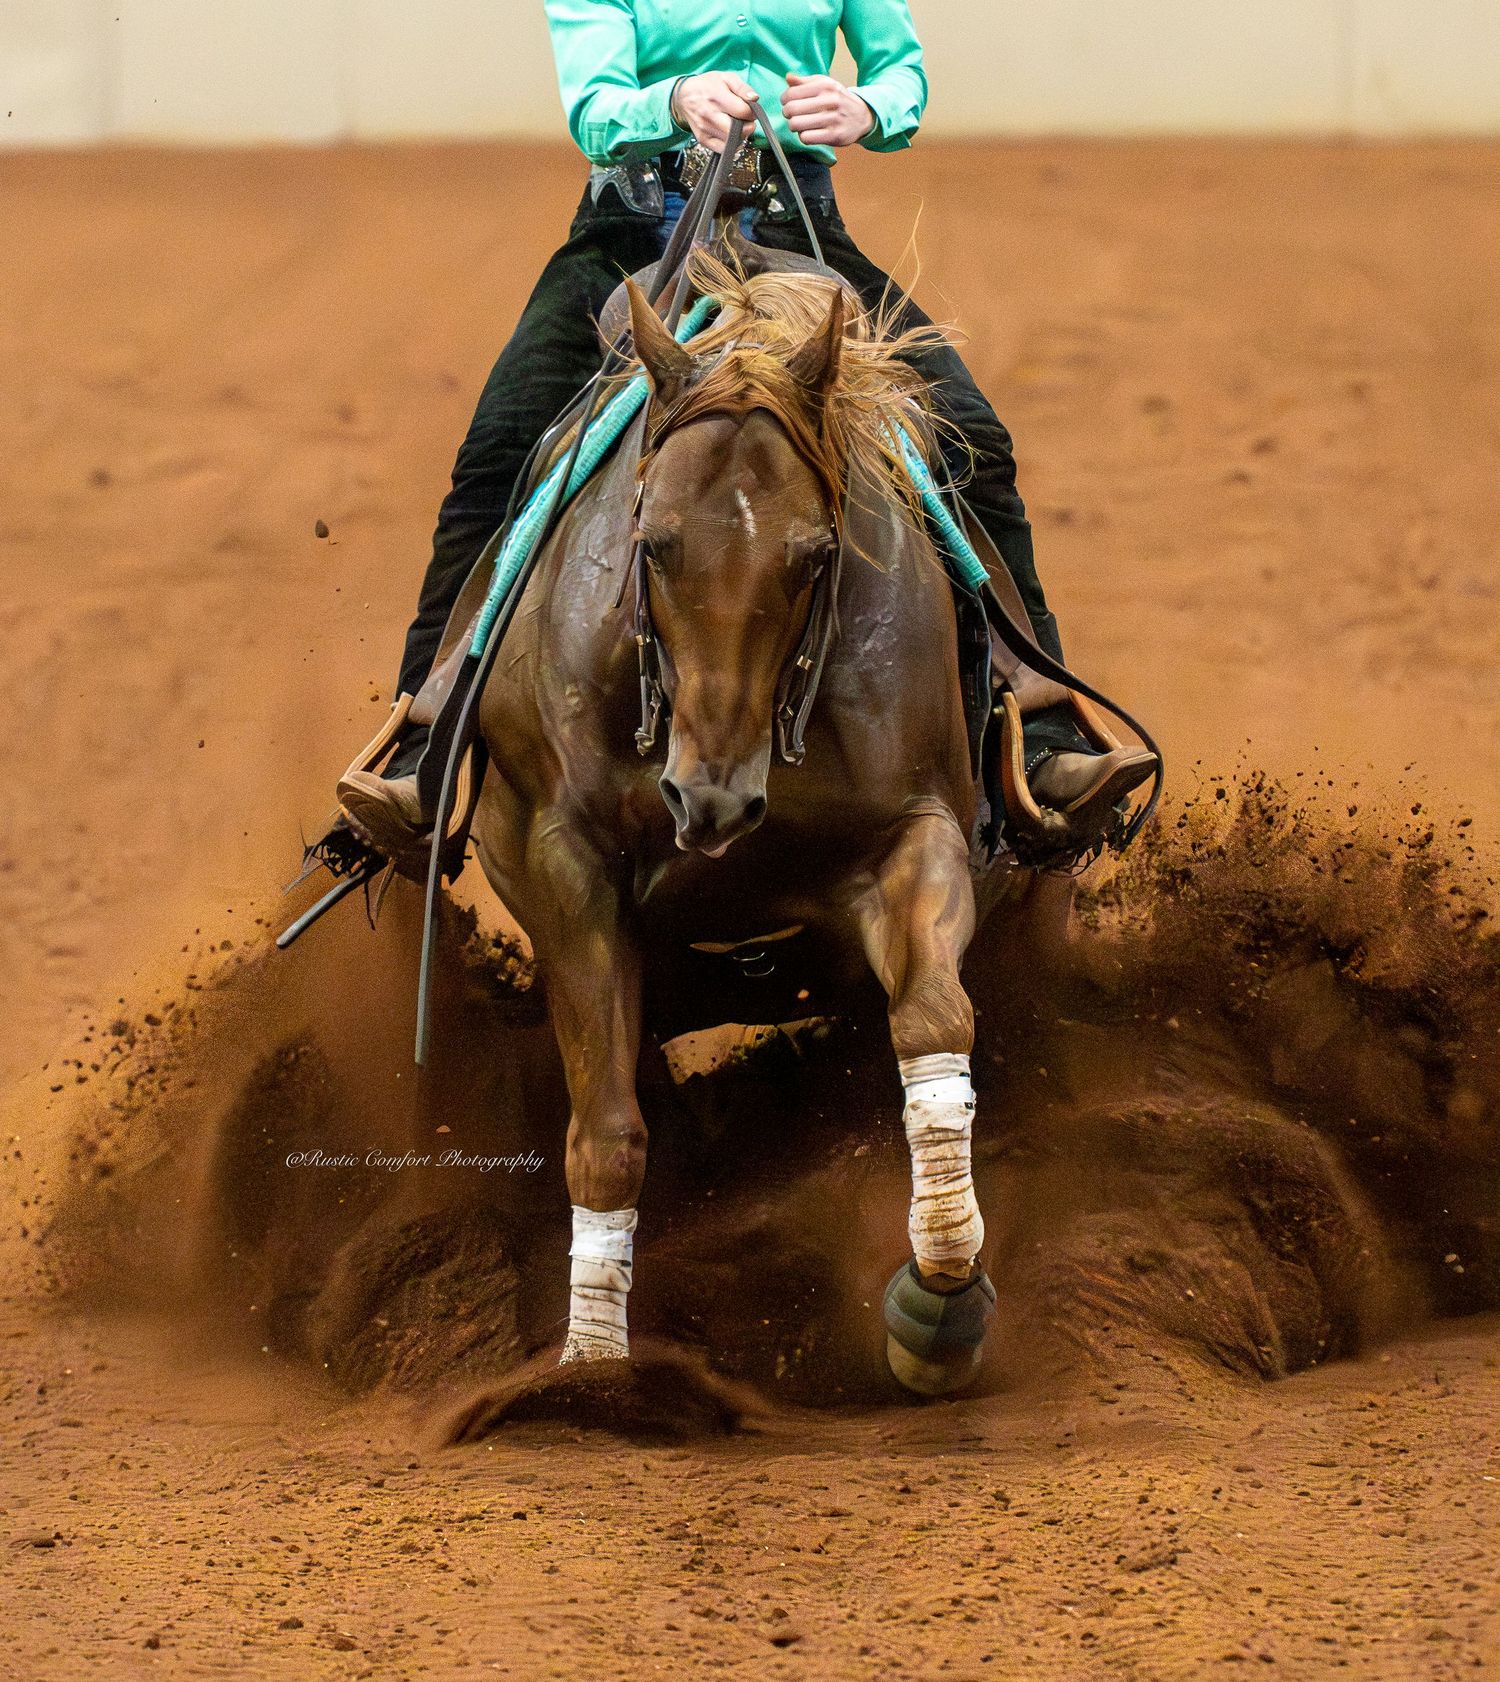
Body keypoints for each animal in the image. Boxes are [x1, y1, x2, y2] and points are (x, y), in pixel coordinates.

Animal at [456, 246, 1039, 1394]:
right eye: (652, 543)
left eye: (814, 556)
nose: (709, 795)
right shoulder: (564, 868)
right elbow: (607, 1135)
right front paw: (592, 1376)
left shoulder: (918, 835)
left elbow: (933, 1023)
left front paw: (939, 1297)